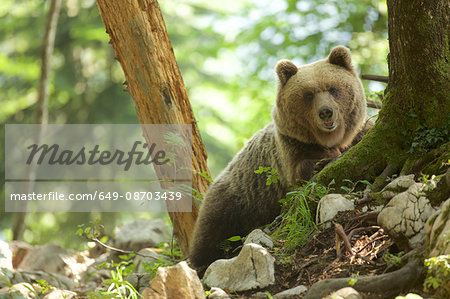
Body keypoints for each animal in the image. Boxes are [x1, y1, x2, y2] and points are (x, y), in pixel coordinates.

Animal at [189, 45, 370, 270]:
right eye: (308, 94)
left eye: (333, 88)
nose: (326, 112)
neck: (330, 140)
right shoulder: (291, 149)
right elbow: (302, 172)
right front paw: (322, 161)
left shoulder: (360, 134)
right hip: (234, 201)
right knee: (210, 233)